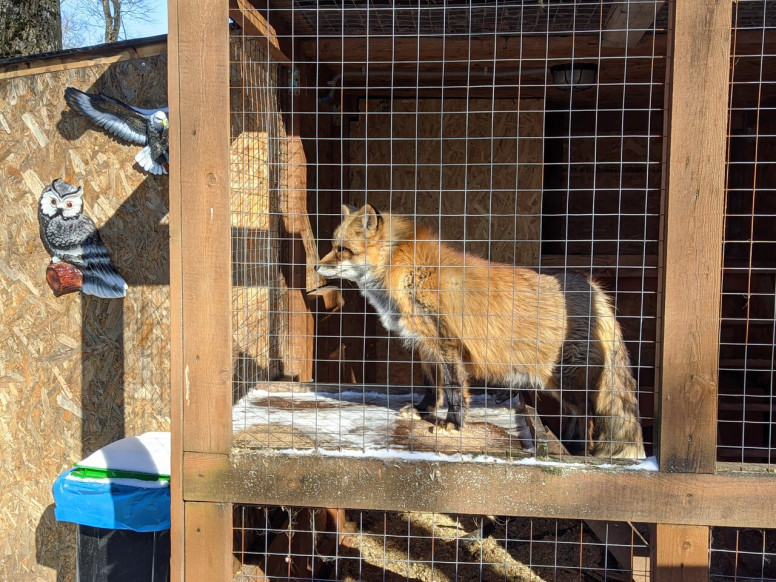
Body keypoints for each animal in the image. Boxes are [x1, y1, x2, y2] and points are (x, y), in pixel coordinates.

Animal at [316, 205, 648, 460]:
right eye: (333, 246)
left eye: (342, 250)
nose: (317, 268)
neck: (406, 270)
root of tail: (593, 289)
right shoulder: (426, 346)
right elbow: (432, 386)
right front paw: (424, 410)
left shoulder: (447, 344)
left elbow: (454, 390)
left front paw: (453, 425)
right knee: (581, 417)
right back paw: (570, 446)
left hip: (565, 381)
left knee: (589, 416)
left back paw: (578, 452)